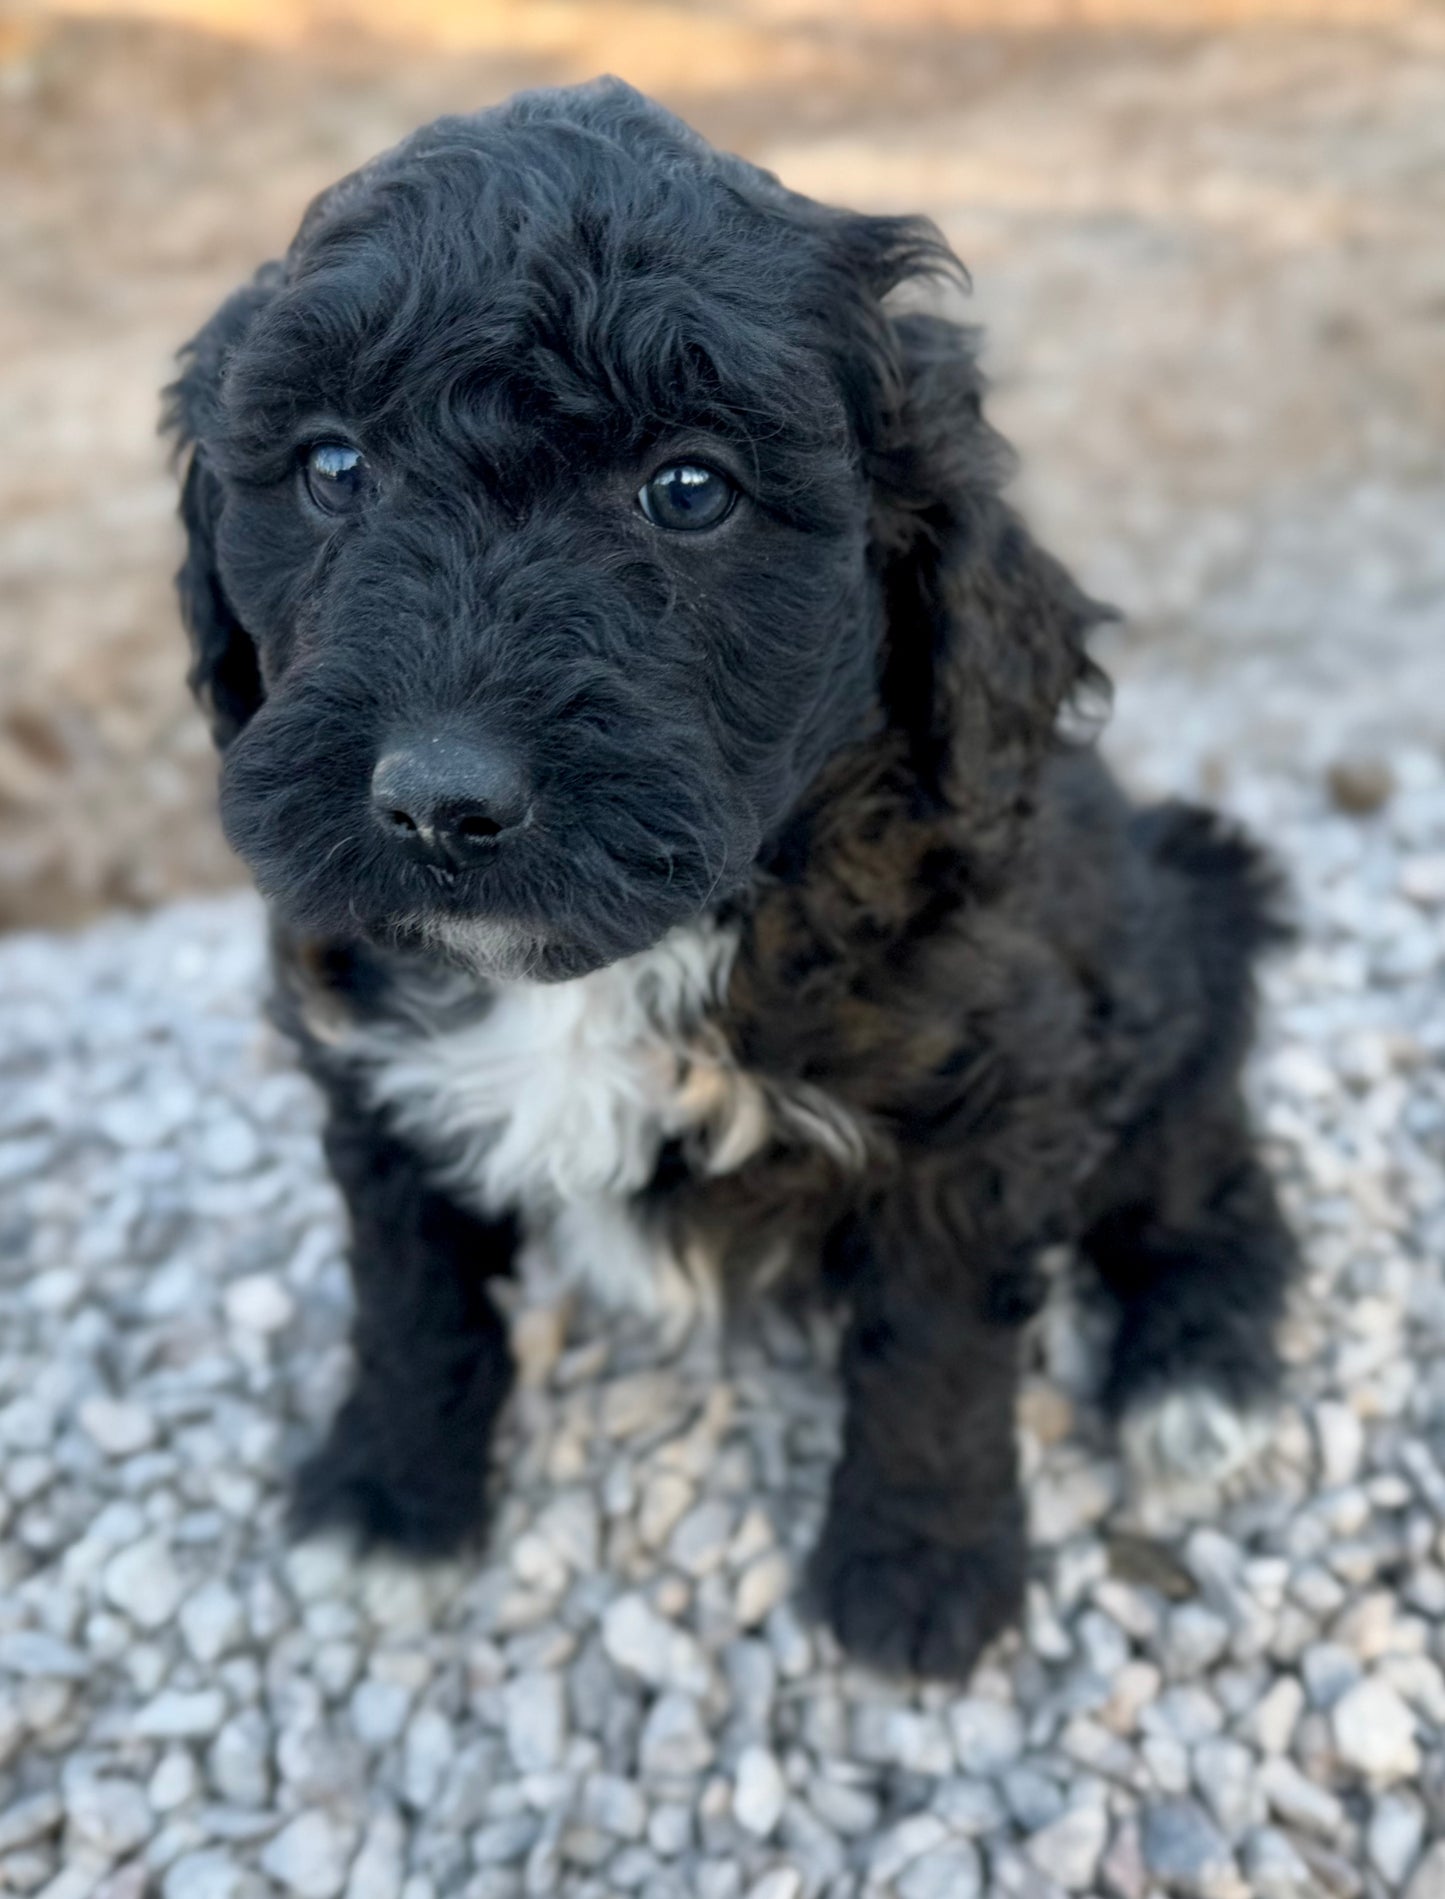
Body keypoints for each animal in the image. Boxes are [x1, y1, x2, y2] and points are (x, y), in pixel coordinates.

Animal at [168, 77, 1298, 1678]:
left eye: (690, 488)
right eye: (330, 467)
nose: (439, 799)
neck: (633, 953)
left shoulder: (981, 1100)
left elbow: (934, 1347)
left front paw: (917, 1570)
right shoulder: (373, 1071)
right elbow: (413, 1296)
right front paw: (393, 1496)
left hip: (1169, 952)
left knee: (1207, 1168)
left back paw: (1198, 1370)